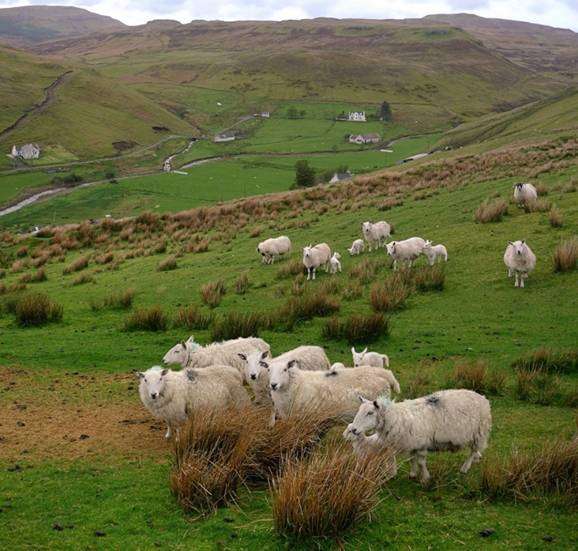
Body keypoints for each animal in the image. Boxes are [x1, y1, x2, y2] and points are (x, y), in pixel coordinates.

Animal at [342, 390, 490, 486]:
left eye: (370, 413)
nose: (354, 429)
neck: (396, 418)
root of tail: (482, 397)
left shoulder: (421, 444)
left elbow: (421, 462)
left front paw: (425, 478)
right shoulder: (412, 443)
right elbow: (412, 459)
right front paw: (413, 474)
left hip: (479, 432)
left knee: (472, 452)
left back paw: (465, 468)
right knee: (475, 451)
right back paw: (476, 458)